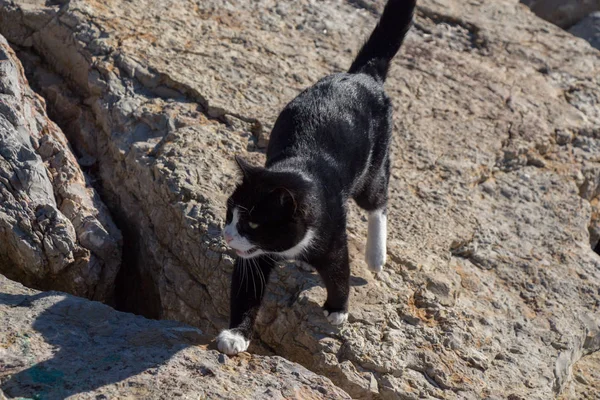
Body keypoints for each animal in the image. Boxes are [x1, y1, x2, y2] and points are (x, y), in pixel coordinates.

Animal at [217, 0, 418, 356]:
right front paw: (235, 335)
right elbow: (246, 290)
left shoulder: (333, 234)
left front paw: (337, 309)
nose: (227, 236)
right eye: (230, 213)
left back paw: (375, 255)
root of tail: (362, 74)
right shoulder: (253, 257)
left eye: (252, 223)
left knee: (378, 200)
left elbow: (339, 270)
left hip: (373, 164)